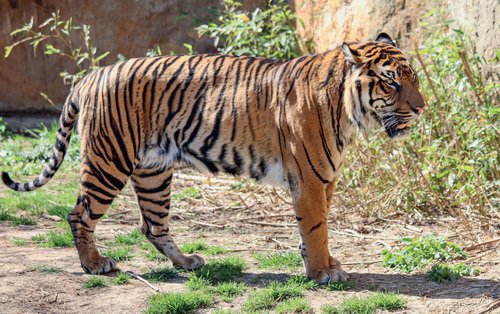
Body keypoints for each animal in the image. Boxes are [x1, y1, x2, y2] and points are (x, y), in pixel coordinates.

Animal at [0, 33, 422, 284]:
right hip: (109, 161)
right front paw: (323, 273)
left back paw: (186, 262)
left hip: (153, 172)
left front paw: (325, 265)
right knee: (80, 214)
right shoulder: (310, 178)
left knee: (152, 225)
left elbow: (317, 229)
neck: (349, 113)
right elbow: (317, 227)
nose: (420, 108)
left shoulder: (325, 178)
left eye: (414, 78)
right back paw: (94, 264)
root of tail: (92, 74)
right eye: (391, 82)